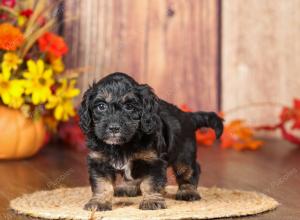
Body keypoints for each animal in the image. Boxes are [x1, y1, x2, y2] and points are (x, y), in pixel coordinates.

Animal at [78, 71, 224, 211]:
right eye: (101, 106)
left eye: (129, 107)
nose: (114, 128)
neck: (121, 145)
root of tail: (188, 115)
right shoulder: (99, 161)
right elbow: (101, 184)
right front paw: (98, 202)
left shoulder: (153, 161)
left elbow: (150, 183)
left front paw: (151, 201)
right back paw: (129, 187)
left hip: (184, 154)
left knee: (190, 170)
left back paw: (188, 191)